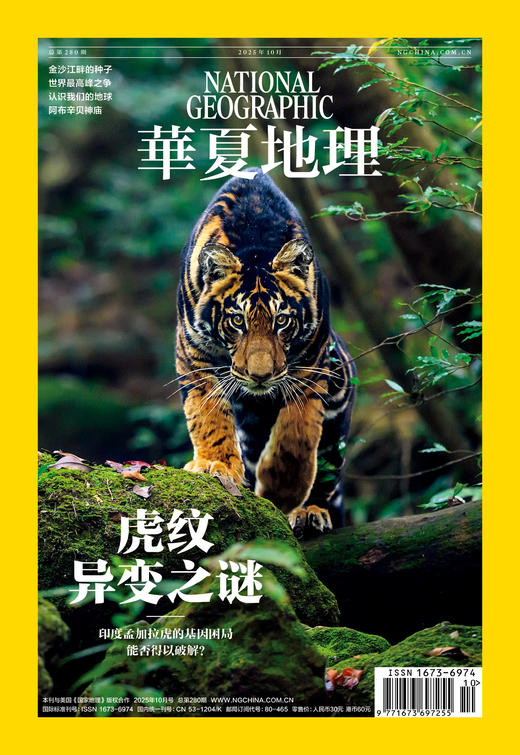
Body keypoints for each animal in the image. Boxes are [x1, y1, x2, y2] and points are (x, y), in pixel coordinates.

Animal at [175, 169, 356, 537]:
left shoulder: (312, 363)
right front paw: (215, 465)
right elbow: (208, 417)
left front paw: (282, 490)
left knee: (328, 467)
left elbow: (298, 434)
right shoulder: (193, 355)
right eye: (237, 321)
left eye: (281, 320)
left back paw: (310, 511)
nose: (260, 376)